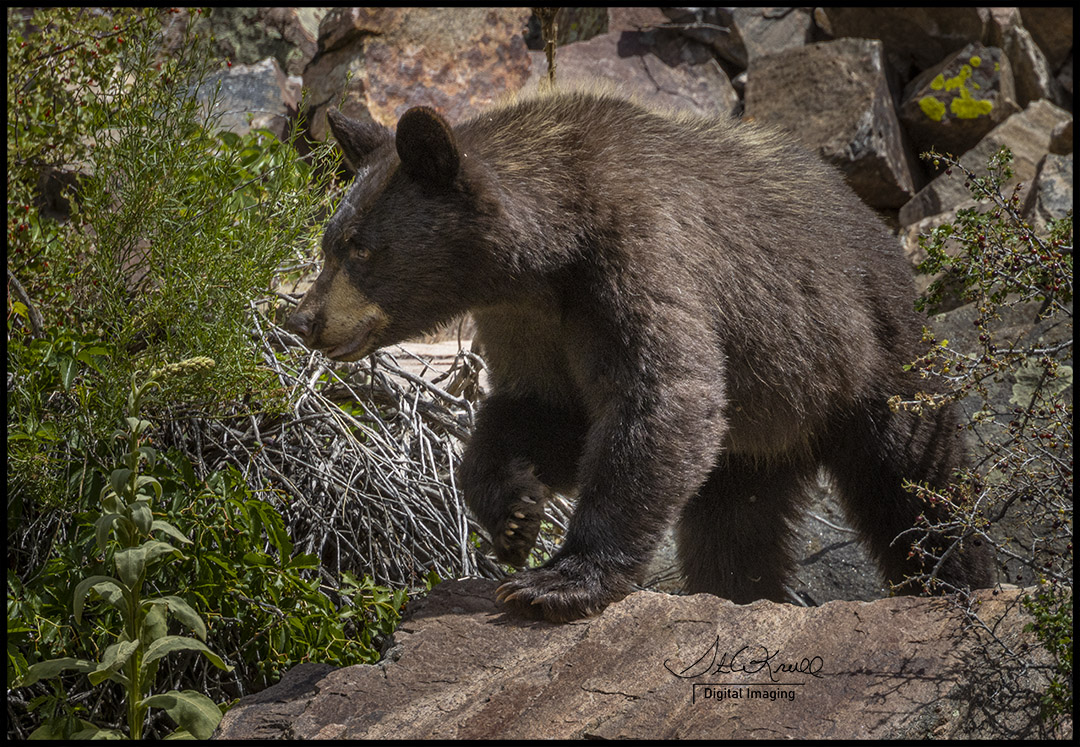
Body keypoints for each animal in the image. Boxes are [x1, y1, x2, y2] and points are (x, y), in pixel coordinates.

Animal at [286, 86, 992, 622]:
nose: (304, 319)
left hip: (866, 355)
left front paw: (558, 580)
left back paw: (956, 577)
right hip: (759, 431)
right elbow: (543, 411)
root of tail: (882, 234)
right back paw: (742, 594)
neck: (549, 254)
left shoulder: (639, 260)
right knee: (733, 528)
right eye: (330, 241)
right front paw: (513, 515)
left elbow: (660, 399)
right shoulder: (530, 323)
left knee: (915, 477)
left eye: (362, 248)